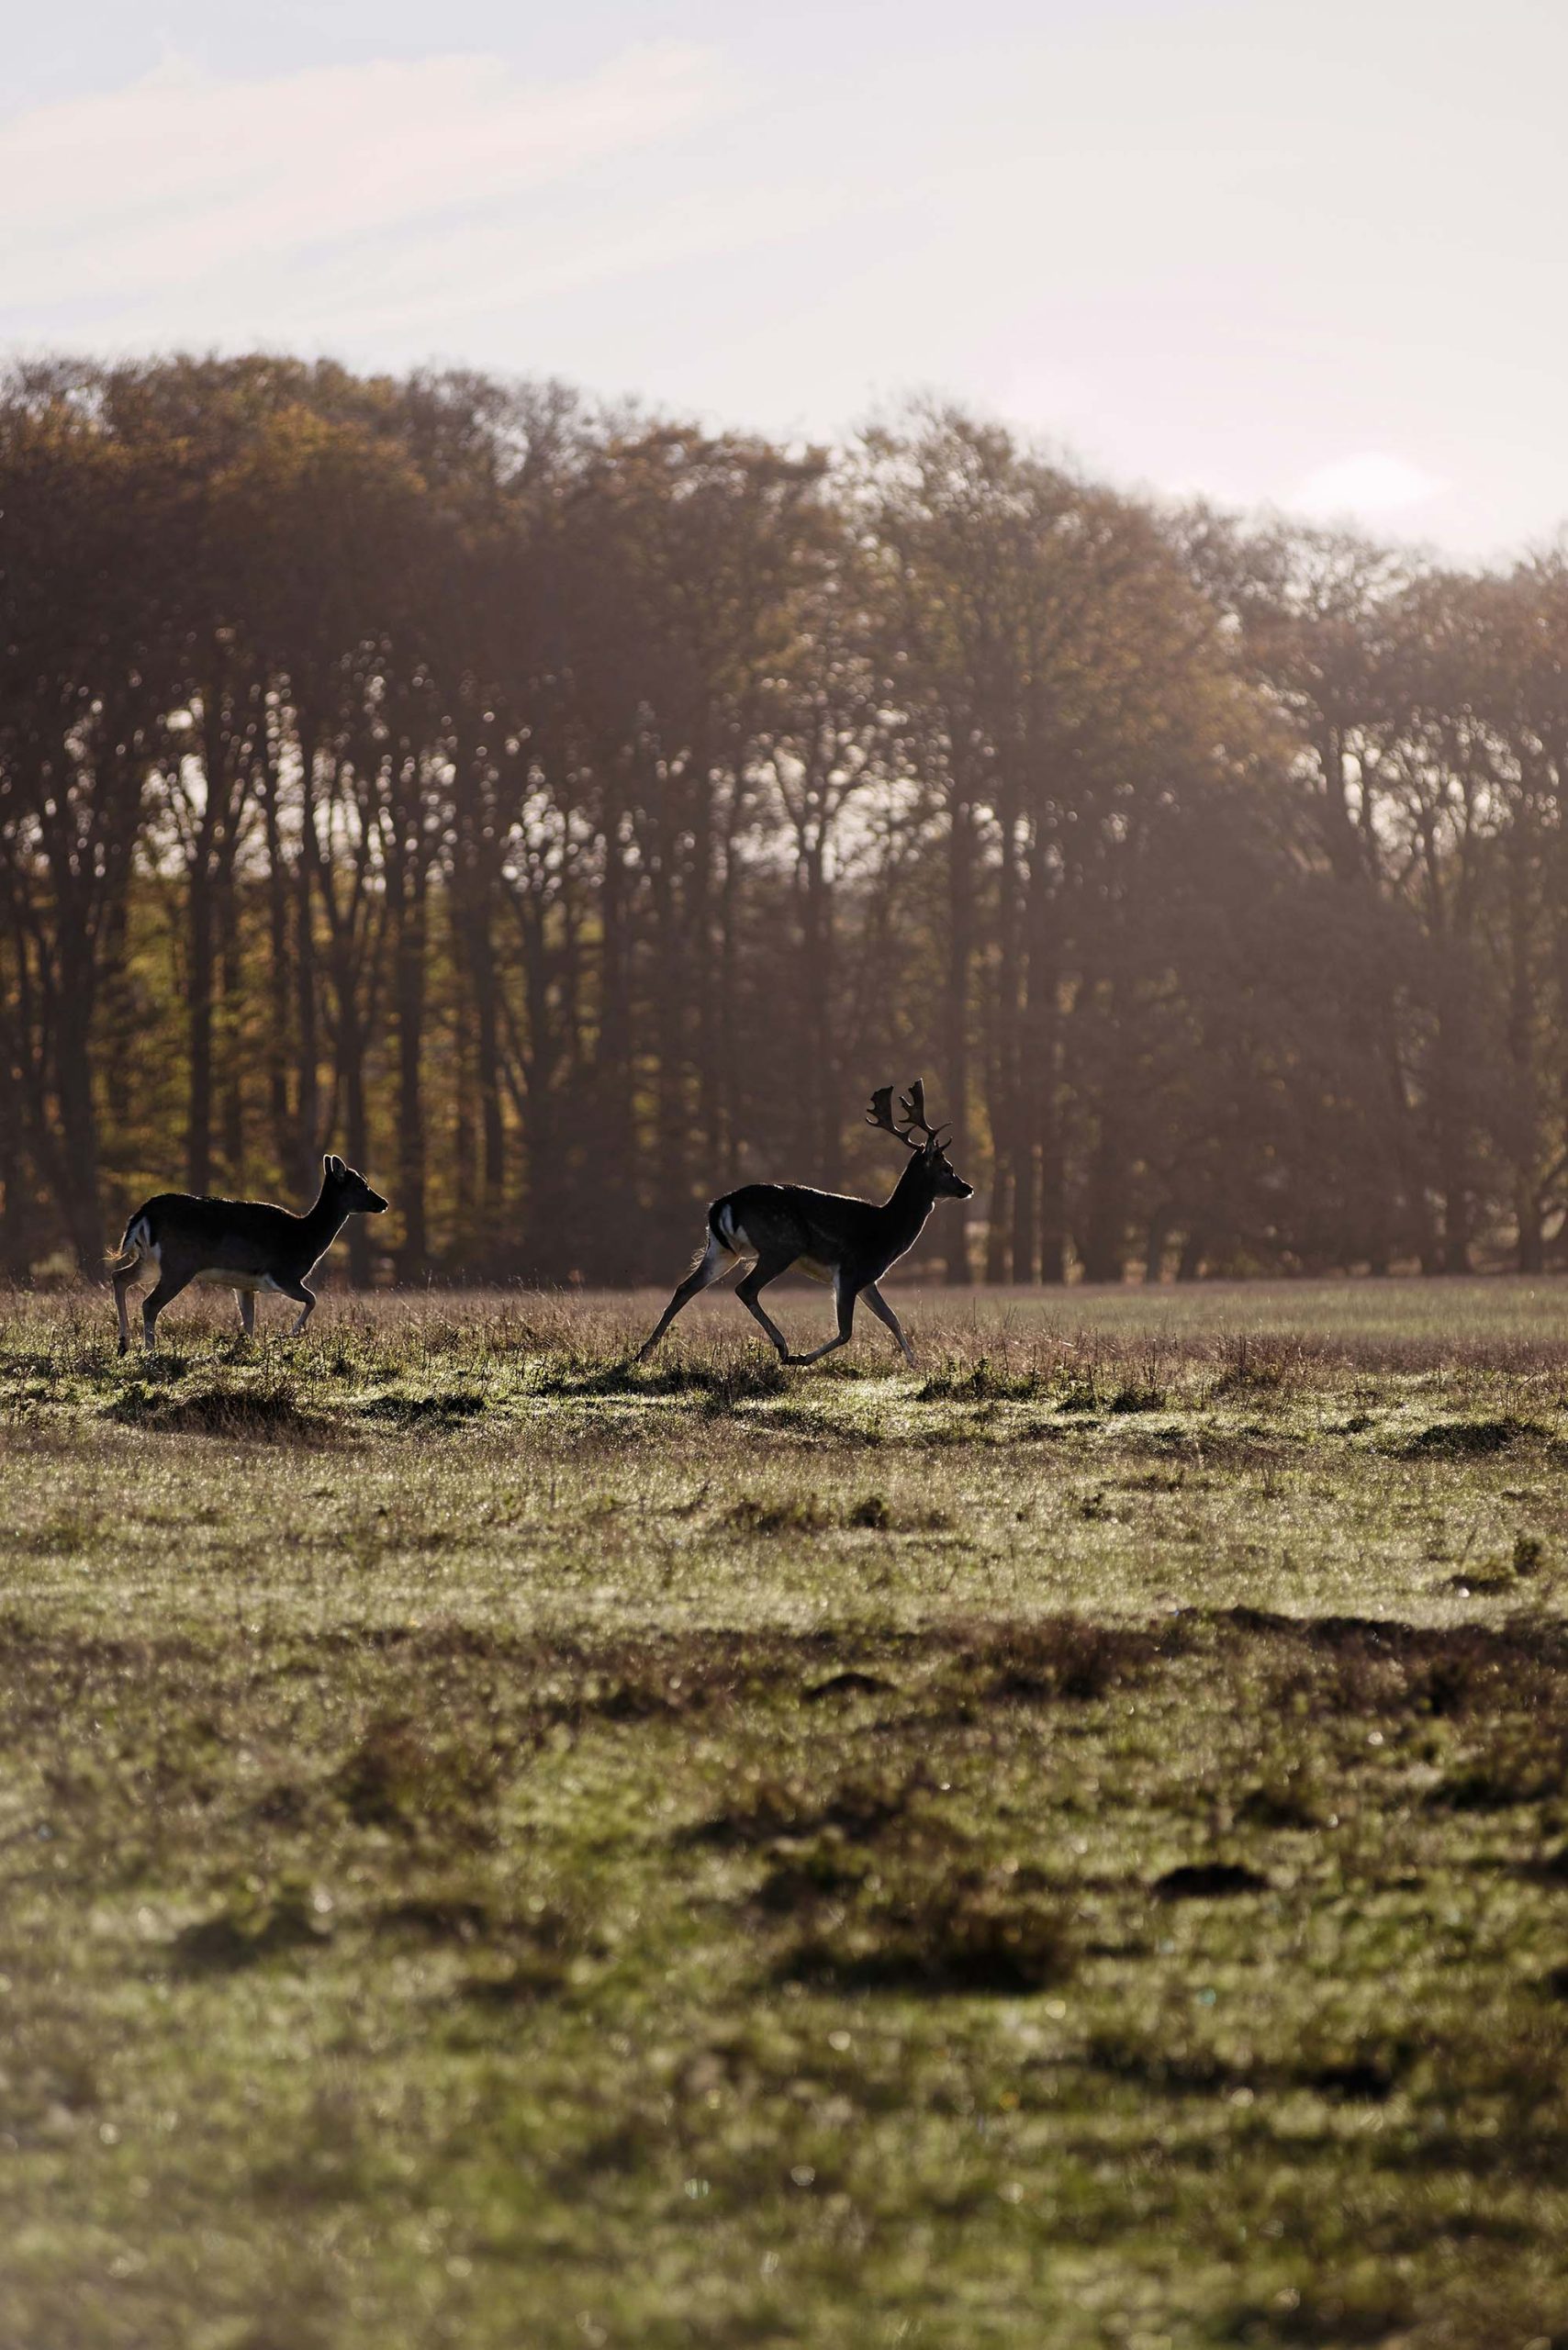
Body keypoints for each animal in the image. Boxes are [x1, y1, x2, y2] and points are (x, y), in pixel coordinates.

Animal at [639, 1090, 969, 1372]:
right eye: (947, 1168)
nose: (968, 1188)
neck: (888, 1231)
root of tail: (720, 1205)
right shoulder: (850, 1273)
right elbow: (847, 1332)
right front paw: (801, 1358)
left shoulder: (867, 1280)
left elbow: (893, 1319)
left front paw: (917, 1365)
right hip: (781, 1246)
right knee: (745, 1288)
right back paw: (783, 1348)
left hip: (721, 1251)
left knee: (685, 1288)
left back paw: (644, 1353)